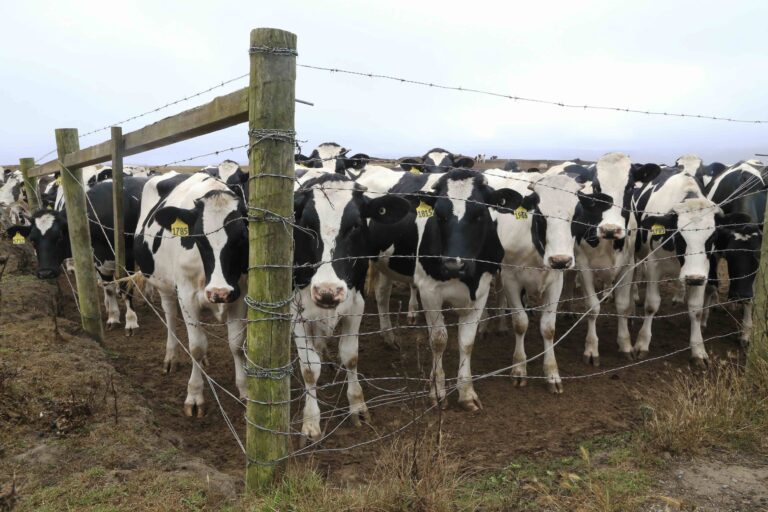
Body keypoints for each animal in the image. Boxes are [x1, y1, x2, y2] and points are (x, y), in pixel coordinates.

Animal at [5, 176, 147, 334]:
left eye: (59, 237)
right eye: (32, 240)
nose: (45, 273)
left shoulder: (127, 256)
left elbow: (126, 286)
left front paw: (131, 321)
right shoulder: (99, 260)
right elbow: (108, 288)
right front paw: (113, 317)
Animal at [134, 171, 248, 416]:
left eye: (242, 237)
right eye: (199, 238)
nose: (219, 292)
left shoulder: (239, 295)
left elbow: (236, 343)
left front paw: (244, 389)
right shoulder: (186, 296)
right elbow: (195, 346)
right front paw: (195, 396)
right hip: (165, 286)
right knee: (170, 318)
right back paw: (171, 356)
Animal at [292, 172, 412, 440]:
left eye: (356, 225)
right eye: (306, 225)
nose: (327, 291)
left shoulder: (356, 304)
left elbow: (350, 356)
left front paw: (357, 406)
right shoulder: (296, 310)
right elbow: (309, 368)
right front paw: (311, 421)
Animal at [632, 165, 728, 364]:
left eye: (713, 237)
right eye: (679, 235)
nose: (693, 278)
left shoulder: (703, 270)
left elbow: (696, 309)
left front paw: (698, 349)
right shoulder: (653, 265)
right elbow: (651, 304)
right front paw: (642, 343)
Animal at [704, 160, 764, 346]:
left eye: (757, 255)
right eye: (730, 255)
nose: (741, 295)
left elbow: (752, 294)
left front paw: (745, 332)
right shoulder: (714, 248)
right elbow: (712, 284)